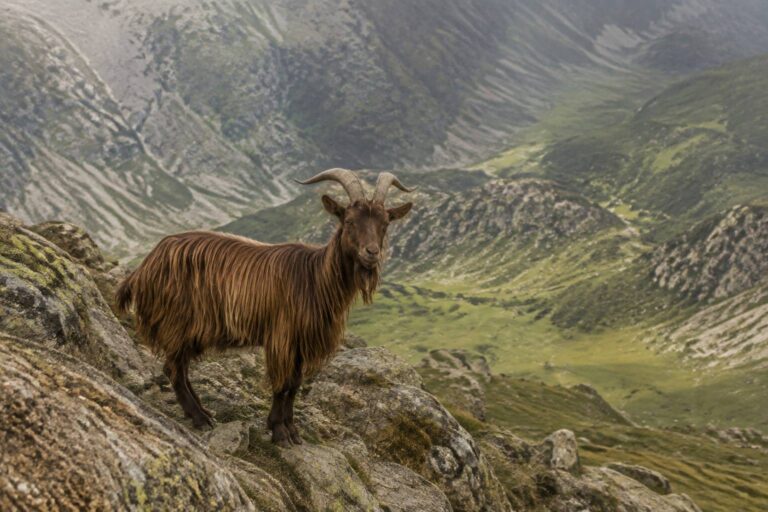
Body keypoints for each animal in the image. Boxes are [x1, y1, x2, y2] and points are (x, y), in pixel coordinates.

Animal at [116, 169, 414, 445]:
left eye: (385, 224)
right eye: (349, 221)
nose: (371, 253)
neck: (314, 277)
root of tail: (145, 265)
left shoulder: (301, 344)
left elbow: (295, 384)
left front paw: (292, 431)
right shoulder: (282, 337)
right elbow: (282, 384)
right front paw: (279, 432)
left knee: (181, 368)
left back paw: (203, 412)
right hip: (177, 321)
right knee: (174, 369)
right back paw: (200, 418)